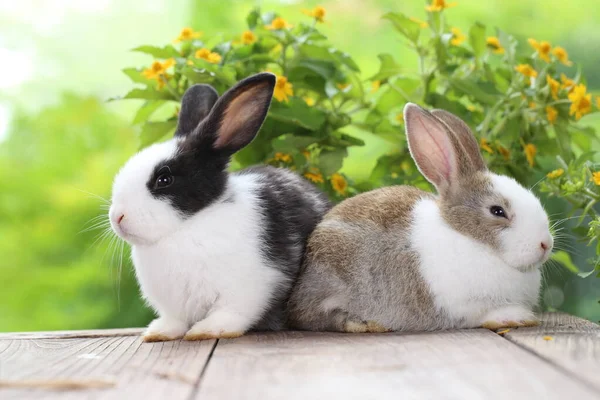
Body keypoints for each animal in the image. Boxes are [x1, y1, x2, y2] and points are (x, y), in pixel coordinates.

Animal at [110, 73, 330, 342]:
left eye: (164, 180)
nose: (117, 217)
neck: (189, 225)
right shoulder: (173, 306)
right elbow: (174, 321)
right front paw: (158, 333)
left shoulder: (252, 285)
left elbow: (231, 312)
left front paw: (206, 330)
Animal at [288, 102, 556, 332]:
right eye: (497, 211)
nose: (546, 244)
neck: (469, 239)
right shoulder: (461, 304)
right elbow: (481, 314)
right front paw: (516, 317)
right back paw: (367, 324)